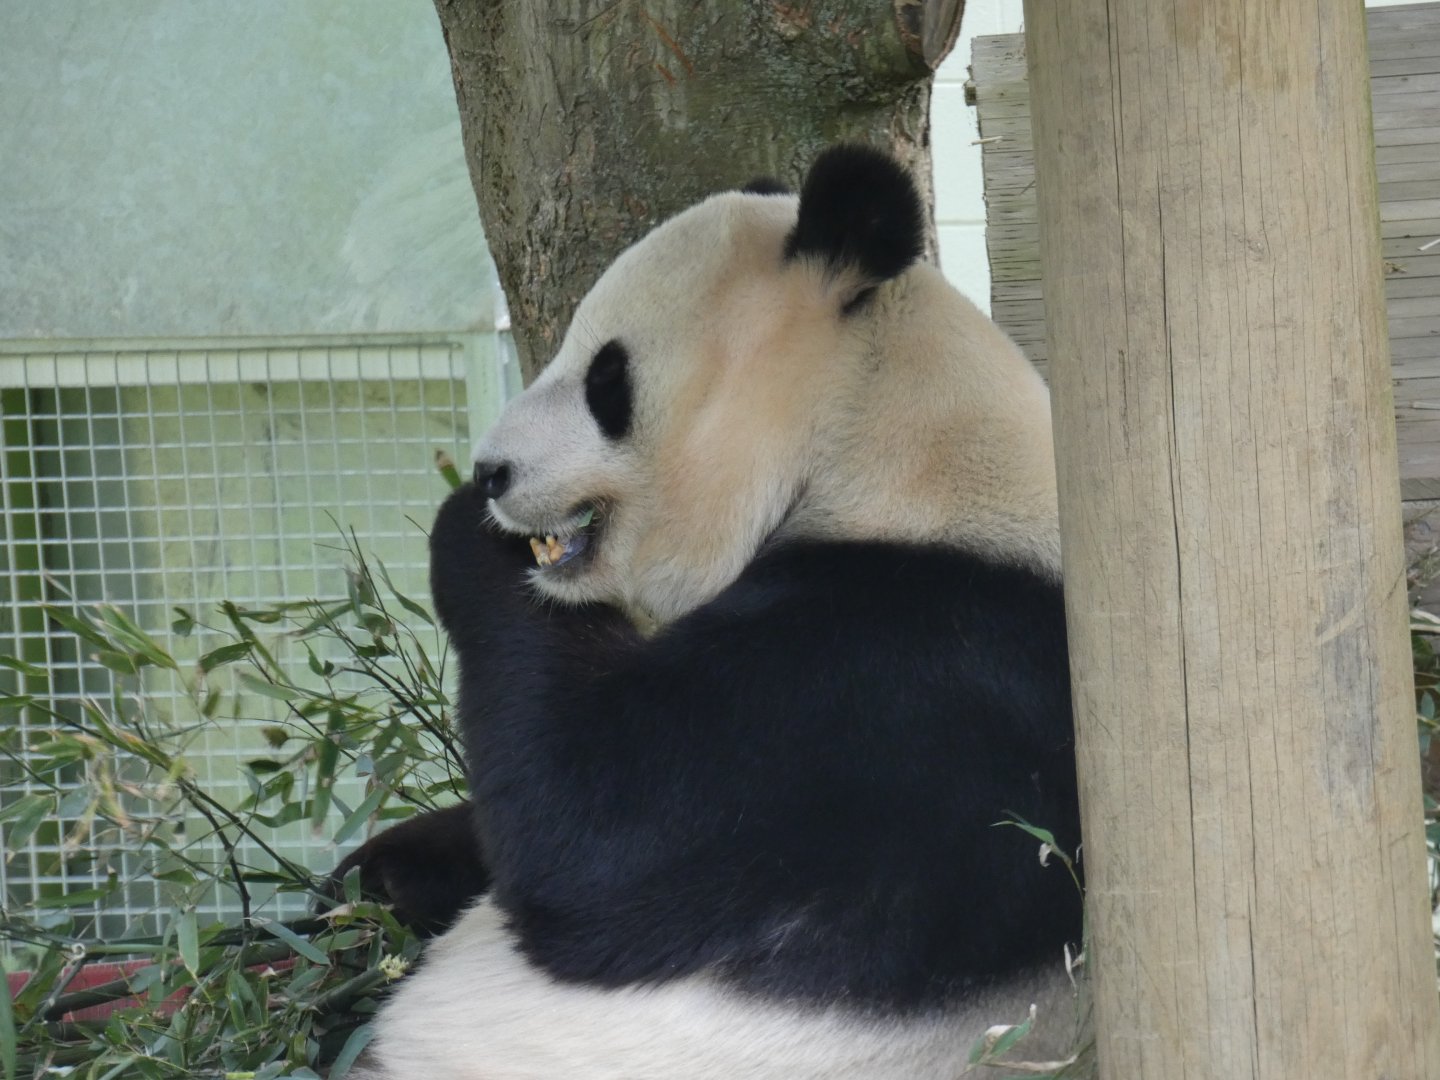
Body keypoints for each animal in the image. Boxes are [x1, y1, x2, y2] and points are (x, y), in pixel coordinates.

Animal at [342, 145, 1082, 1079]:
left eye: (607, 380)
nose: (491, 472)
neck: (883, 445)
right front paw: (381, 864)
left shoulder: (901, 678)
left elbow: (593, 836)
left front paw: (468, 535)